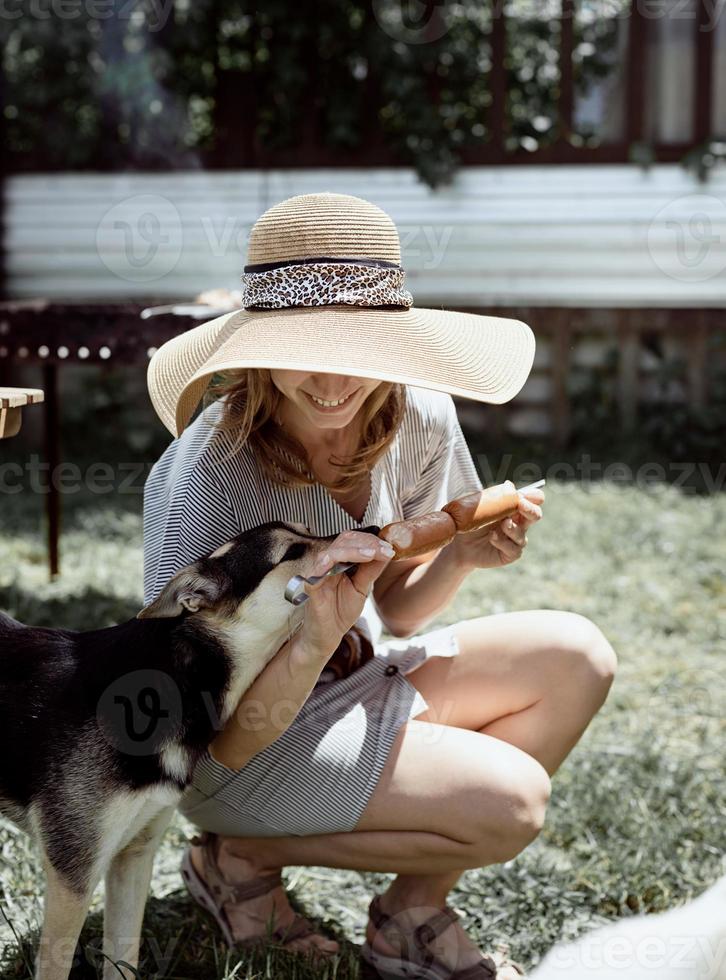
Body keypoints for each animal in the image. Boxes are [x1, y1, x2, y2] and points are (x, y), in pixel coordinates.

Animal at [0, 524, 336, 980]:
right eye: (292, 552)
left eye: (308, 532)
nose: (373, 530)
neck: (174, 685)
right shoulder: (73, 873)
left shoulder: (135, 855)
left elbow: (124, 956)